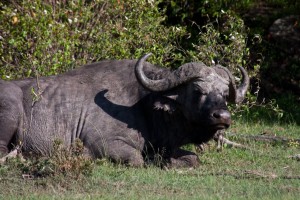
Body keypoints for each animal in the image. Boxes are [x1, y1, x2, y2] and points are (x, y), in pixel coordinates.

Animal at [0, 53, 248, 167]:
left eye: (224, 93)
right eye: (197, 90)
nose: (223, 117)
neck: (144, 105)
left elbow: (193, 158)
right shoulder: (102, 143)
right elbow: (137, 159)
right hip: (10, 111)